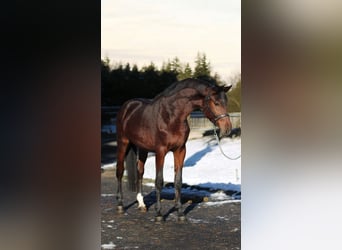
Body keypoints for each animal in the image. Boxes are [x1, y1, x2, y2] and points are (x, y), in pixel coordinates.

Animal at [115, 78, 232, 221]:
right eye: (216, 103)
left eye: (226, 102)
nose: (227, 128)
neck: (171, 116)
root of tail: (127, 106)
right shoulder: (161, 151)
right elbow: (159, 181)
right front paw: (159, 214)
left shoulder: (180, 150)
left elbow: (178, 181)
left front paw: (180, 213)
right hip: (123, 143)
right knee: (120, 171)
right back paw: (120, 205)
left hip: (143, 148)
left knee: (140, 172)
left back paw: (141, 204)